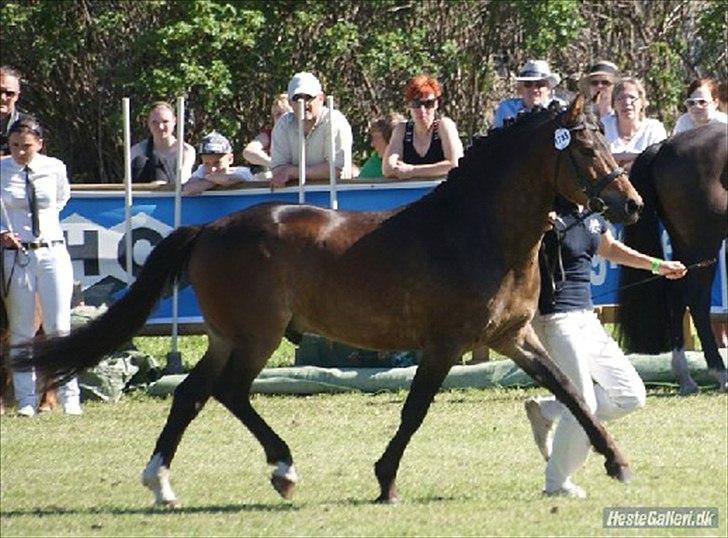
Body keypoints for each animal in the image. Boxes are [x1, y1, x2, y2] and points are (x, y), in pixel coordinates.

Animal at [11, 95, 644, 502]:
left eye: (604, 141)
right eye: (585, 150)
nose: (633, 205)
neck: (477, 231)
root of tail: (210, 229)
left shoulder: (512, 336)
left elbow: (568, 390)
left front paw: (616, 461)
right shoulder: (443, 345)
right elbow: (415, 410)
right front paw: (386, 480)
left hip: (227, 337)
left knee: (192, 394)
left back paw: (162, 483)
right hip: (256, 337)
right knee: (228, 391)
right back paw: (282, 469)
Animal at [616, 123, 724, 392]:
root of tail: (663, 145)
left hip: (684, 243)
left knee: (676, 293)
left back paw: (685, 377)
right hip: (703, 242)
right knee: (697, 299)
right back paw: (719, 372)